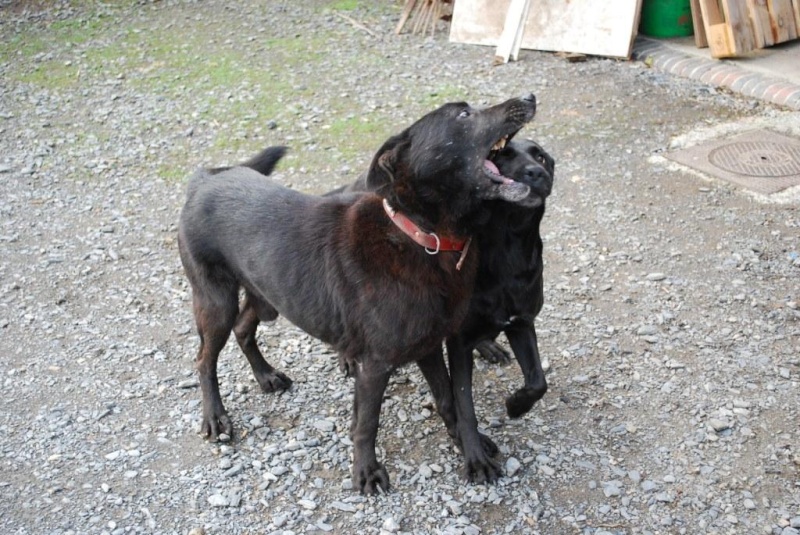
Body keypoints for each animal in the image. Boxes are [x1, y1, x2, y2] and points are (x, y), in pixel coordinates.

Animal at [177, 95, 536, 494]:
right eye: (463, 114)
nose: (528, 98)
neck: (422, 237)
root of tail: (206, 178)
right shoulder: (375, 364)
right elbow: (367, 422)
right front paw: (366, 471)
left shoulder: (428, 344)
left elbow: (448, 399)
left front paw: (467, 442)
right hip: (215, 302)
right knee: (204, 360)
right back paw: (215, 416)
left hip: (266, 294)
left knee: (243, 329)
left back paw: (266, 376)